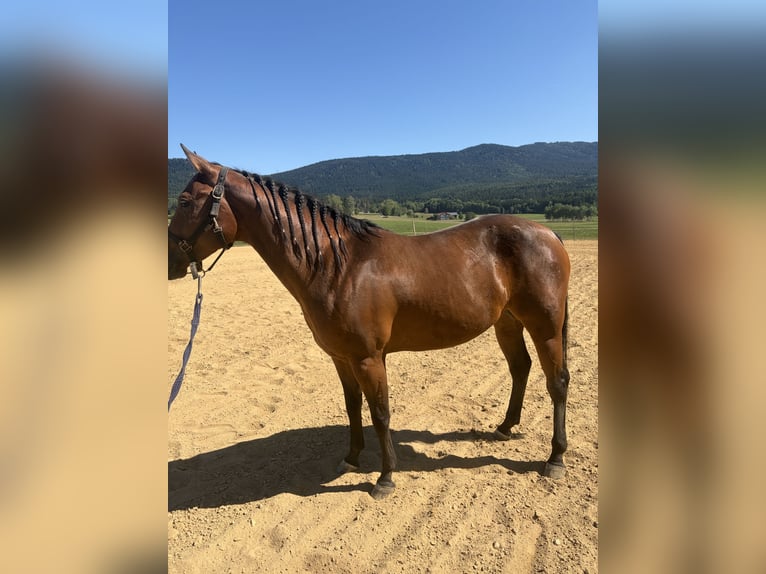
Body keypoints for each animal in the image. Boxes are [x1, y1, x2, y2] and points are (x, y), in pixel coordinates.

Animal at [168, 145, 571, 499]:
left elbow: (380, 412)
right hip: (507, 323)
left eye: (185, 202)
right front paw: (351, 458)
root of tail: (549, 233)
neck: (338, 264)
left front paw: (385, 477)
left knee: (557, 382)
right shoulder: (341, 358)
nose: (170, 262)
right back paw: (504, 428)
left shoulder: (368, 358)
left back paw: (555, 457)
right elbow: (353, 407)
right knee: (521, 368)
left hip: (546, 327)